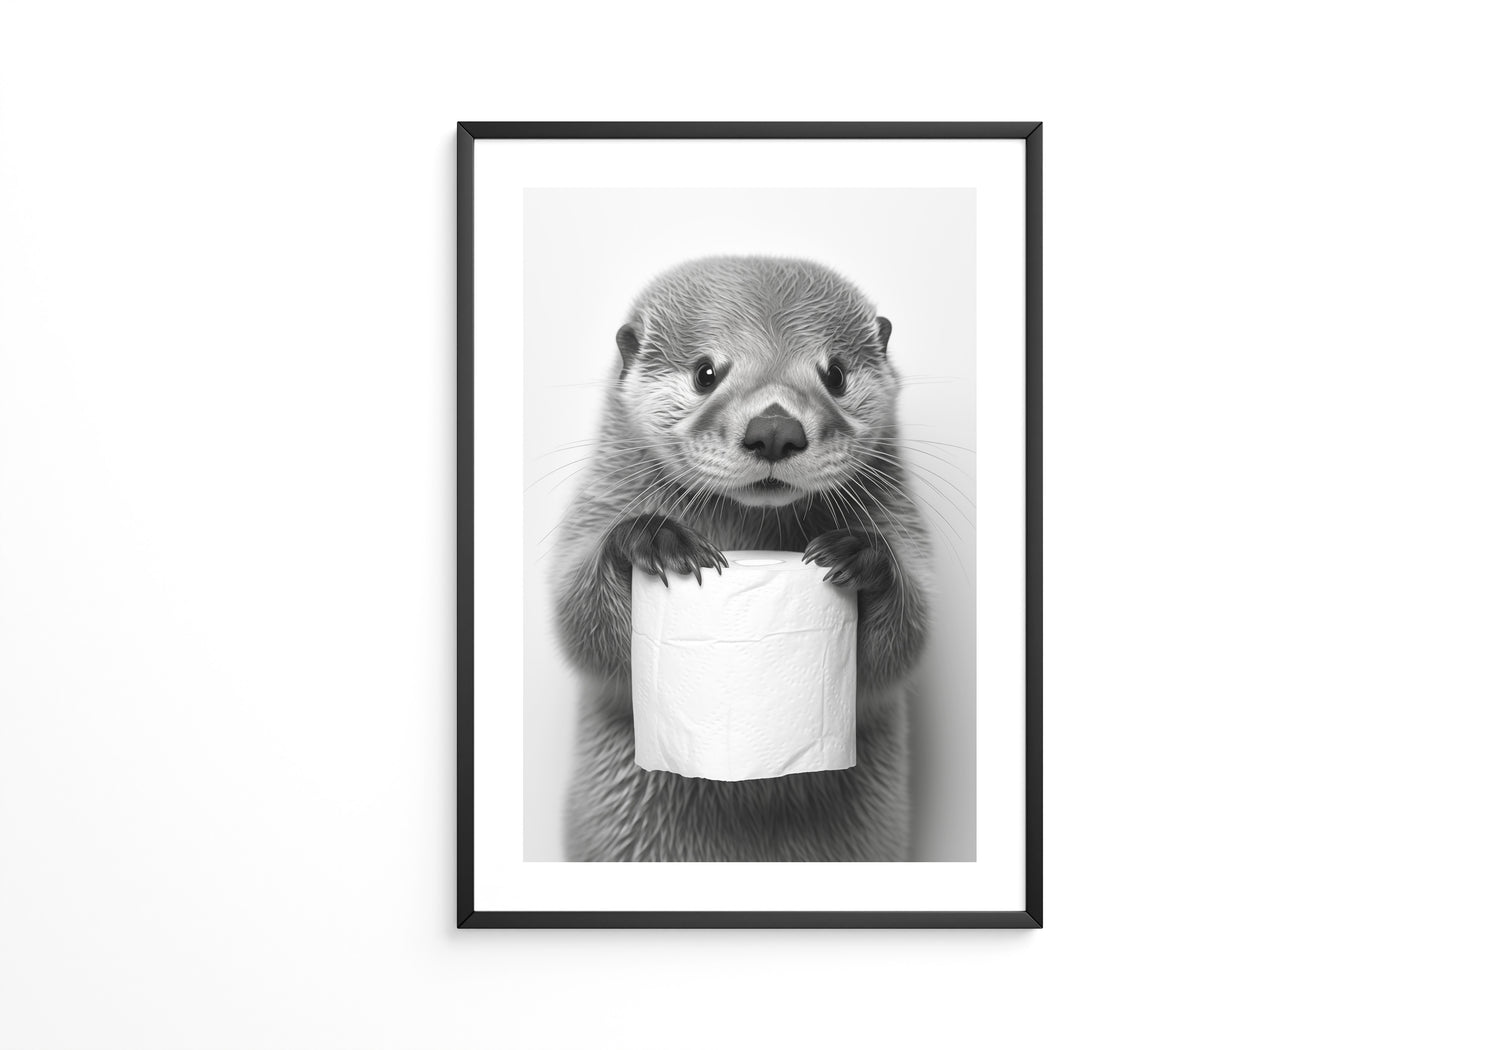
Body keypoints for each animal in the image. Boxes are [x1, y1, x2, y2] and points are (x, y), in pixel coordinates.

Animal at [551, 256, 932, 862]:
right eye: (705, 372)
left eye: (835, 374)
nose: (774, 429)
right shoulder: (599, 501)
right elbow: (581, 631)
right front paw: (651, 541)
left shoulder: (901, 520)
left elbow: (903, 647)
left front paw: (862, 554)